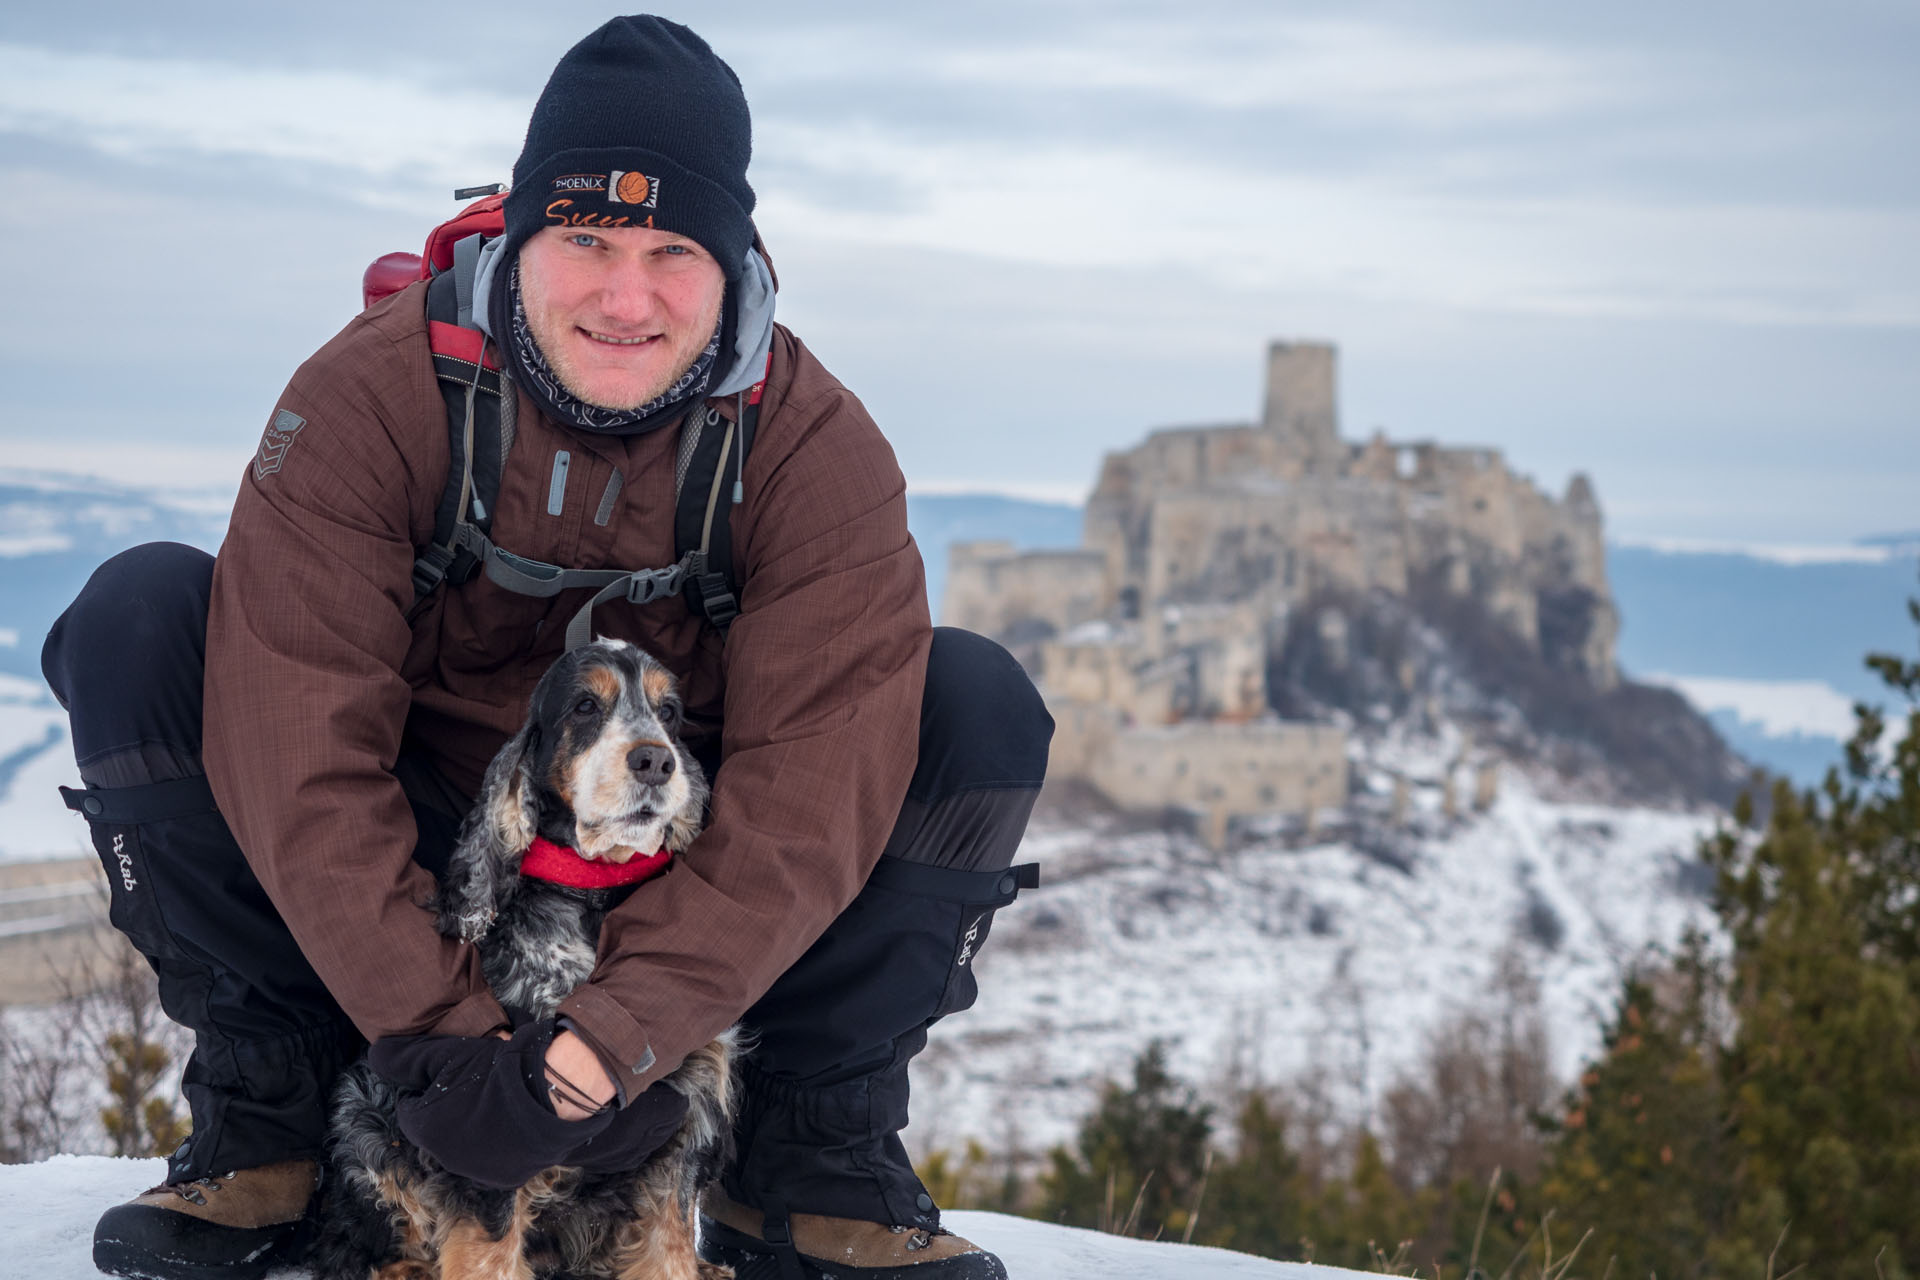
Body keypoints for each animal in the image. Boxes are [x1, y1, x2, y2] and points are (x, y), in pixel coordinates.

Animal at [311, 640, 737, 1280]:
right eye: (585, 706)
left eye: (669, 712)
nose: (656, 761)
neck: (591, 893)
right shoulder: (494, 1132)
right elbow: (488, 1253)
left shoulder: (685, 1113)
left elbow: (668, 1249)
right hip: (361, 1111)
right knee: (360, 1244)